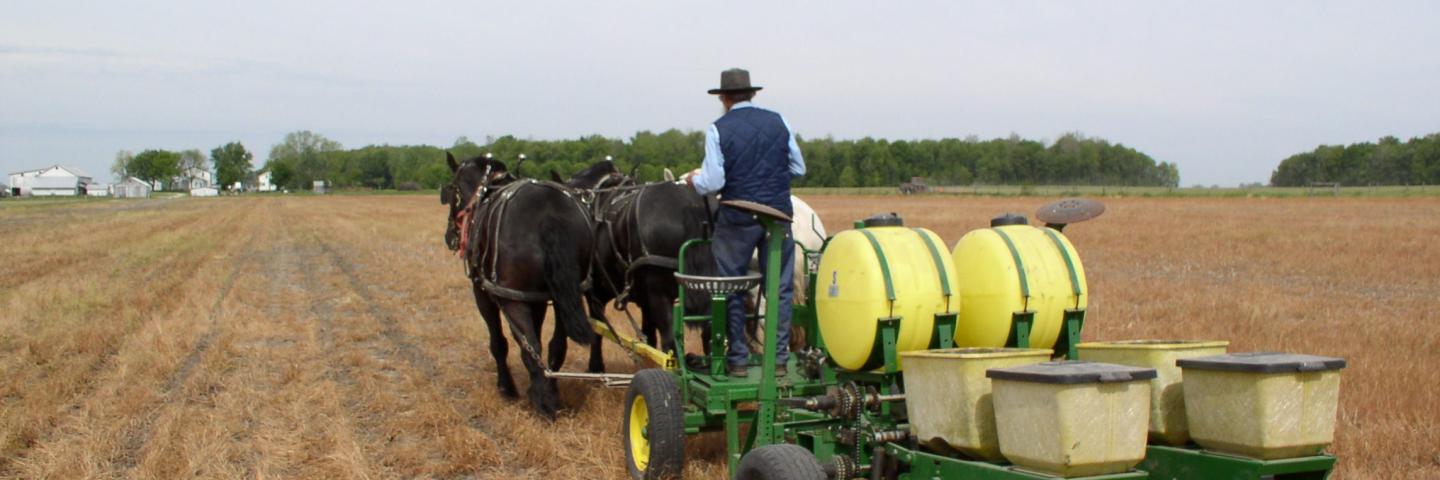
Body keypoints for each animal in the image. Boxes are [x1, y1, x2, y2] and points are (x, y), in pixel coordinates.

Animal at [437, 152, 596, 415]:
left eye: (452, 190)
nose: (450, 236)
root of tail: (548, 213)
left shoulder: (483, 293)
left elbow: (499, 342)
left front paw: (506, 387)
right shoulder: (535, 297)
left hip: (512, 299)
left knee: (530, 347)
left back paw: (543, 401)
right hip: (567, 296)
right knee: (555, 346)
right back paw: (549, 391)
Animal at [552, 160, 711, 369]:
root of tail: (690, 205)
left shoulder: (596, 293)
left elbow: (598, 329)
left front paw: (595, 367)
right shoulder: (645, 300)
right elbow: (649, 339)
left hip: (660, 294)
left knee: (670, 342)